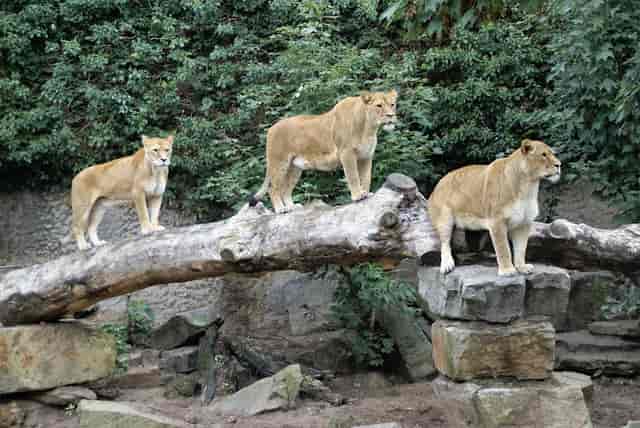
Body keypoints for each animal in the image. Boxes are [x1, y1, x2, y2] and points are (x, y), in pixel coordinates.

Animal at [249, 90, 398, 213]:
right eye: (379, 106)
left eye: (392, 104)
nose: (391, 116)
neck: (368, 128)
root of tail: (271, 128)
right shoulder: (347, 153)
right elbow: (353, 176)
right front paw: (358, 196)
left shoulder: (366, 156)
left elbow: (366, 177)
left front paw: (367, 193)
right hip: (279, 163)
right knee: (273, 187)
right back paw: (281, 209)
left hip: (295, 167)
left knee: (286, 188)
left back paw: (292, 207)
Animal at [428, 139, 561, 276]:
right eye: (543, 155)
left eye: (553, 153)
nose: (559, 165)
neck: (528, 186)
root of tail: (438, 184)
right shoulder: (497, 221)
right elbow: (503, 248)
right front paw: (507, 270)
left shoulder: (523, 223)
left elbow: (521, 248)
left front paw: (522, 267)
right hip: (445, 218)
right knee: (445, 242)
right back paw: (447, 265)